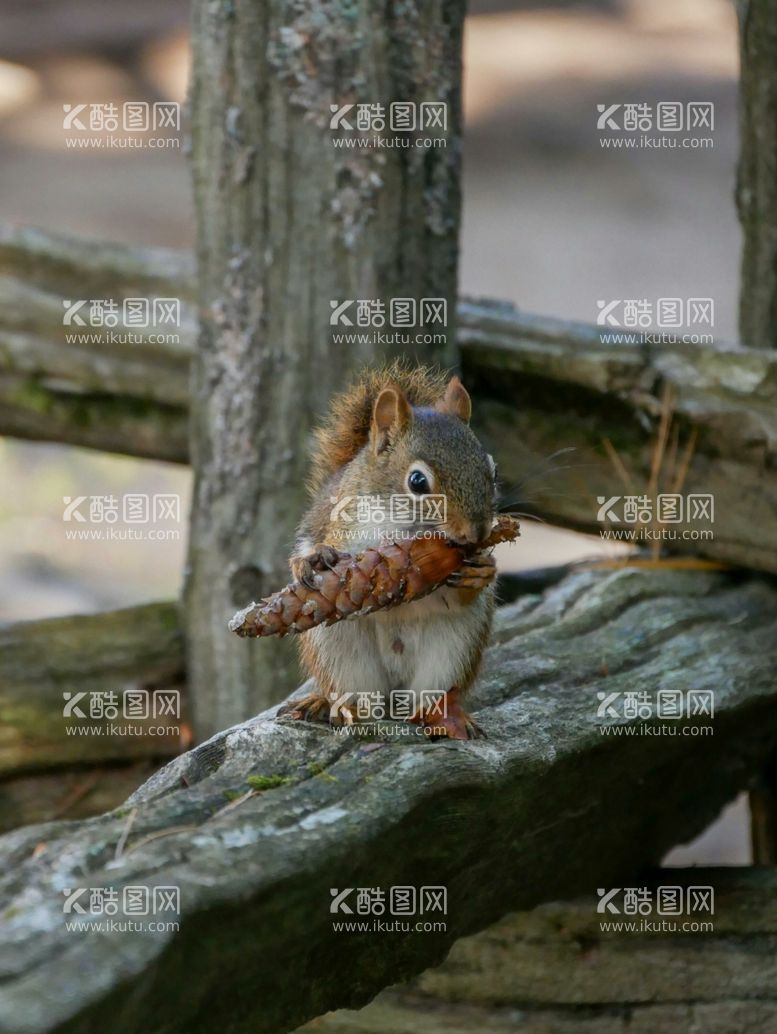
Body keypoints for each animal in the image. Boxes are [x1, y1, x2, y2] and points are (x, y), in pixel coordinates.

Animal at [283, 361, 498, 736]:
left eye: (493, 471)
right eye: (417, 481)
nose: (477, 532)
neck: (401, 528)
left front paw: (483, 570)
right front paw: (315, 560)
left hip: (453, 651)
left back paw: (444, 718)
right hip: (337, 651)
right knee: (355, 696)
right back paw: (338, 707)